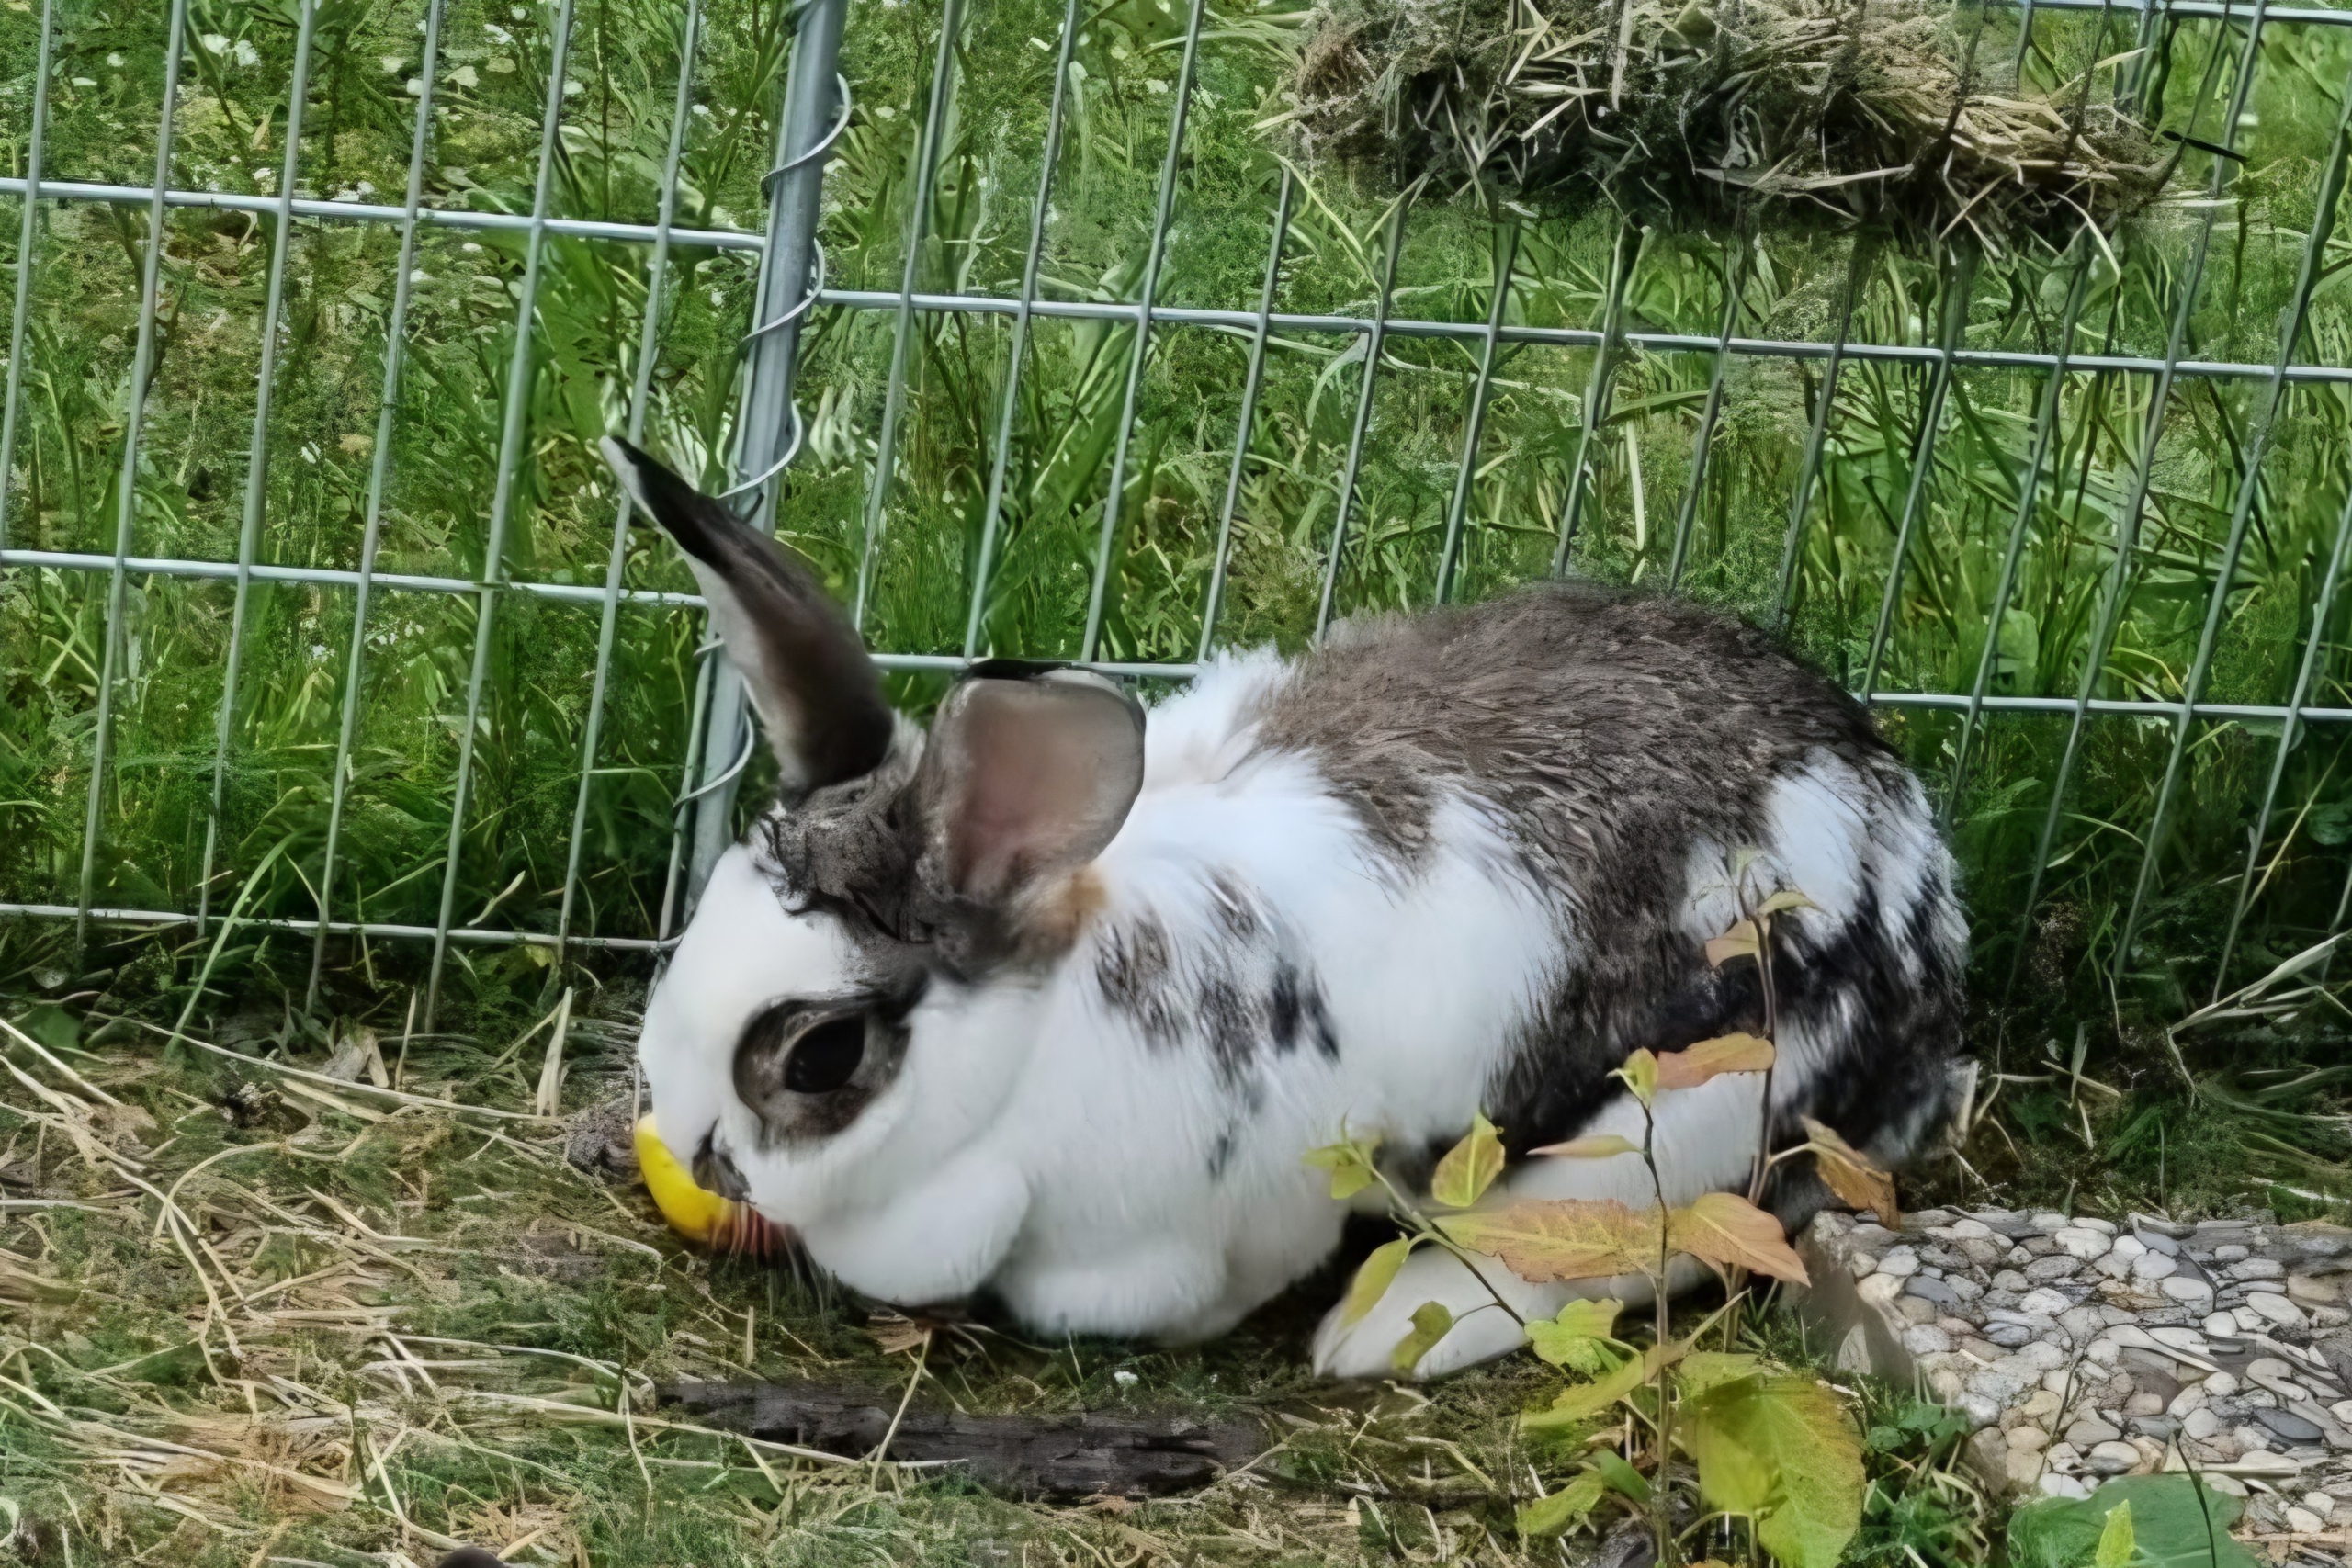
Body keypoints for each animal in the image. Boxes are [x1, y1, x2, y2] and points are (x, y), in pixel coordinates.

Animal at [603, 436, 1966, 1380]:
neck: (1033, 1053)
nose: (684, 1135)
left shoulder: (1221, 1220)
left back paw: (1384, 1329)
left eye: (822, 1052)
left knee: (1618, 1242)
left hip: (1682, 1115)